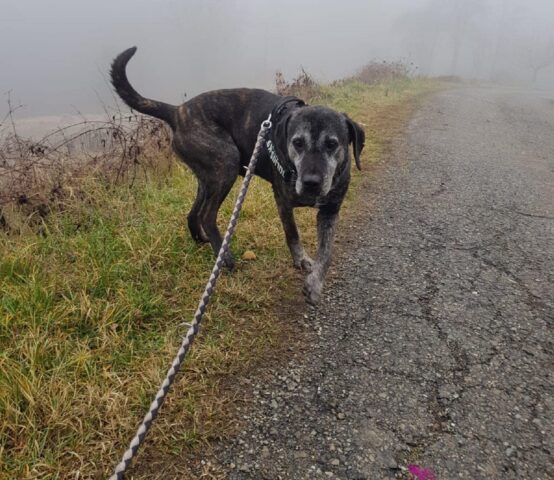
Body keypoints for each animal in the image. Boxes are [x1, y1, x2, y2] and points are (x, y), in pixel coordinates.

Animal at [110, 47, 364, 304]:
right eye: (297, 143)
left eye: (332, 144)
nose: (311, 183)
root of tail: (177, 111)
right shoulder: (283, 202)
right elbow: (292, 234)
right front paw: (301, 261)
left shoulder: (330, 211)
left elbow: (327, 252)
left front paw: (314, 284)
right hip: (227, 163)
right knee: (207, 215)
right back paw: (224, 256)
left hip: (208, 178)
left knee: (194, 213)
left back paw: (203, 241)